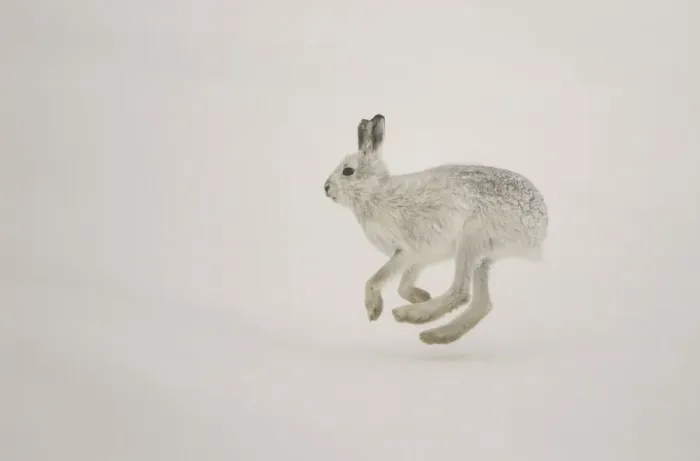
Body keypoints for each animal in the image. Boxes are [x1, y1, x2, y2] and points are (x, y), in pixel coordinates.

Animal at [323, 114, 548, 345]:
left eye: (348, 171)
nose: (326, 188)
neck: (375, 192)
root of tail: (540, 228)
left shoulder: (405, 251)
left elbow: (376, 279)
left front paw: (374, 310)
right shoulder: (419, 257)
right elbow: (402, 285)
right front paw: (421, 296)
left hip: (471, 240)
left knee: (460, 292)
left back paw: (412, 316)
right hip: (483, 258)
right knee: (481, 303)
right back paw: (437, 333)